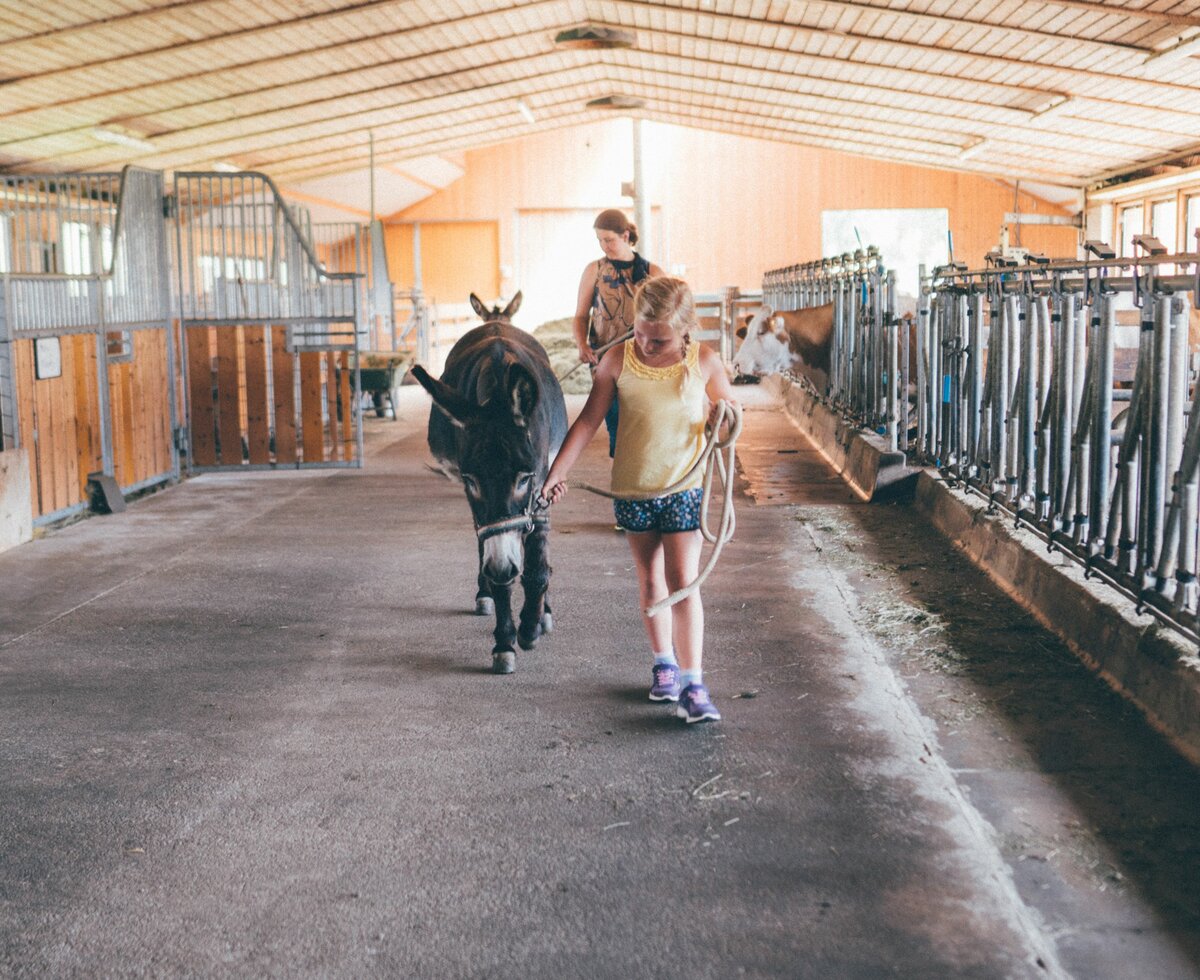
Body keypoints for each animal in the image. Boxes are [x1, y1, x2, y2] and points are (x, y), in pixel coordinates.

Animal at [408, 290, 566, 671]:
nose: (502, 568)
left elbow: (538, 563)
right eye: (472, 480)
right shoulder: (476, 499)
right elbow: (493, 554)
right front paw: (506, 641)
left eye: (524, 477)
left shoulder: (542, 482)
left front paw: (531, 625)